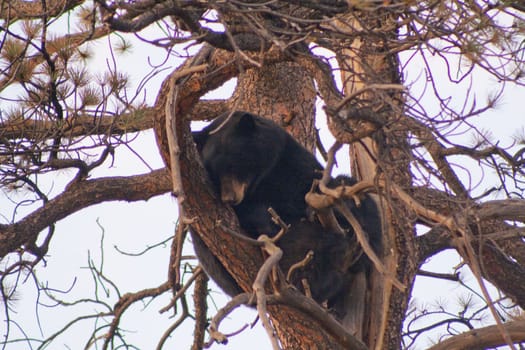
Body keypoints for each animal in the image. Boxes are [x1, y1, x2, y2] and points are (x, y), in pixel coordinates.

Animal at [190, 111, 378, 312]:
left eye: (234, 164)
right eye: (214, 173)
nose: (229, 199)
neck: (263, 179)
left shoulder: (290, 159)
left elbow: (315, 185)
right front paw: (267, 220)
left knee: (357, 196)